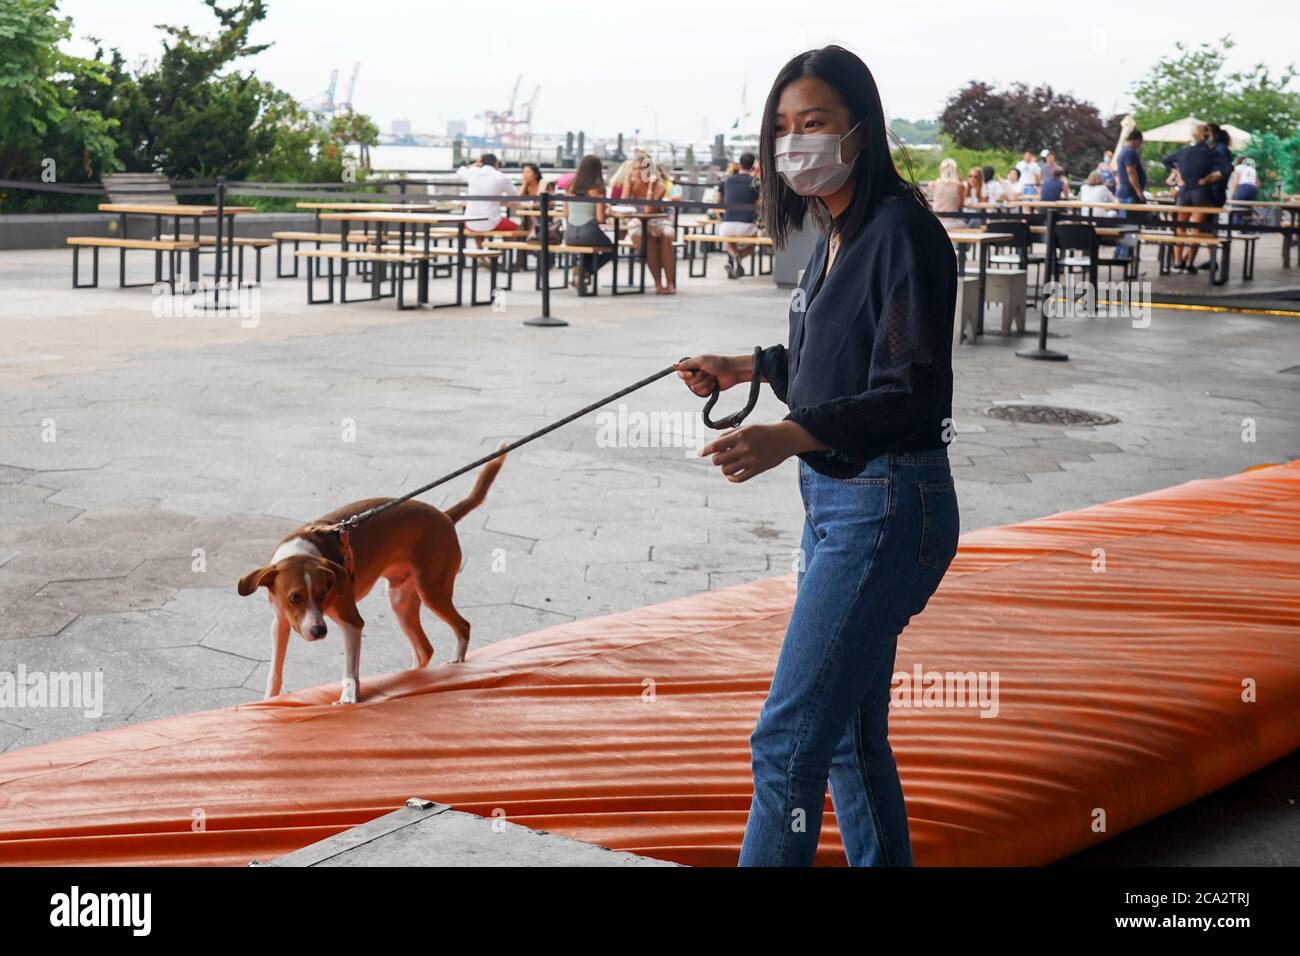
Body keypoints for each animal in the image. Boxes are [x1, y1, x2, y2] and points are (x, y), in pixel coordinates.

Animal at [239, 455, 501, 702]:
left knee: (462, 626)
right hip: (400, 600)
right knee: (424, 649)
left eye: (323, 593)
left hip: (432, 591)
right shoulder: (281, 622)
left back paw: (457, 665)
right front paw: (269, 700)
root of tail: (445, 516)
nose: (319, 630)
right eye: (295, 597)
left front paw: (348, 699)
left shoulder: (352, 622)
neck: (303, 551)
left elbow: (350, 670)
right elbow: (275, 672)